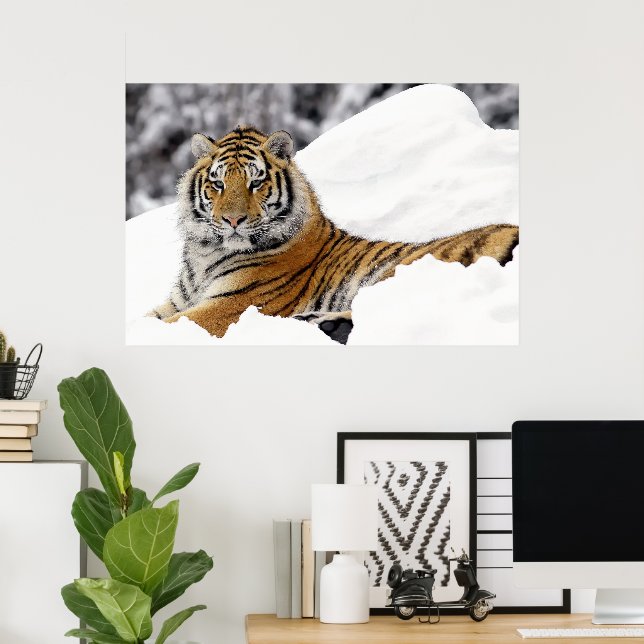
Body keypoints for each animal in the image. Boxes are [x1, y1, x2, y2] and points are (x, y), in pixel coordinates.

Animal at [148, 126, 519, 343]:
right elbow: (150, 318)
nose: (232, 220)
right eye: (218, 184)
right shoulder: (176, 301)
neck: (205, 255)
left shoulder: (228, 306)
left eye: (256, 182)